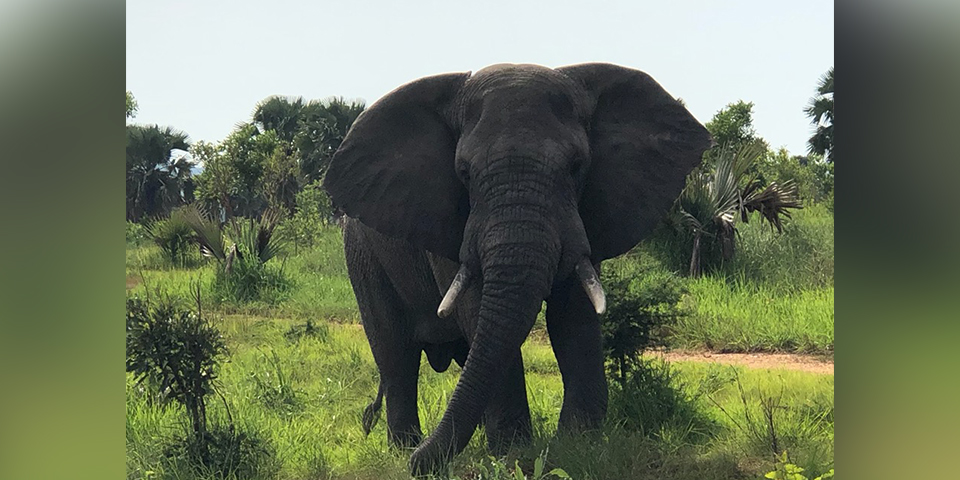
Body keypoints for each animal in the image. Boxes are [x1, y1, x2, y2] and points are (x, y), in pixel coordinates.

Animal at [323, 62, 711, 476]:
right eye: (463, 172)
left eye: (577, 167)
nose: (419, 465)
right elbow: (476, 306)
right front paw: (513, 455)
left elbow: (574, 316)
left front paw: (578, 447)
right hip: (362, 256)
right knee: (396, 356)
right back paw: (404, 447)